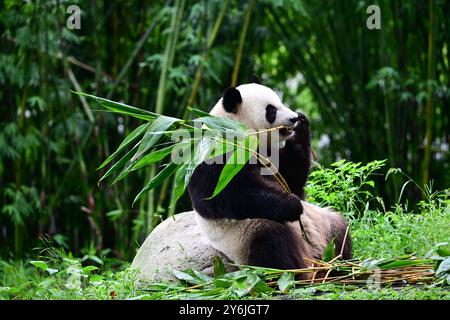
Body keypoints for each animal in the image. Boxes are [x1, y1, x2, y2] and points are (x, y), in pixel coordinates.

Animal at [186, 76, 352, 276]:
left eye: (280, 102)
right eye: (271, 110)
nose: (294, 117)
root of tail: (314, 256)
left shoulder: (272, 160)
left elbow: (292, 177)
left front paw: (302, 127)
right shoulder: (216, 159)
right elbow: (229, 195)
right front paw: (291, 204)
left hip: (323, 221)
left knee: (340, 229)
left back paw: (342, 265)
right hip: (245, 236)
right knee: (272, 242)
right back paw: (296, 274)